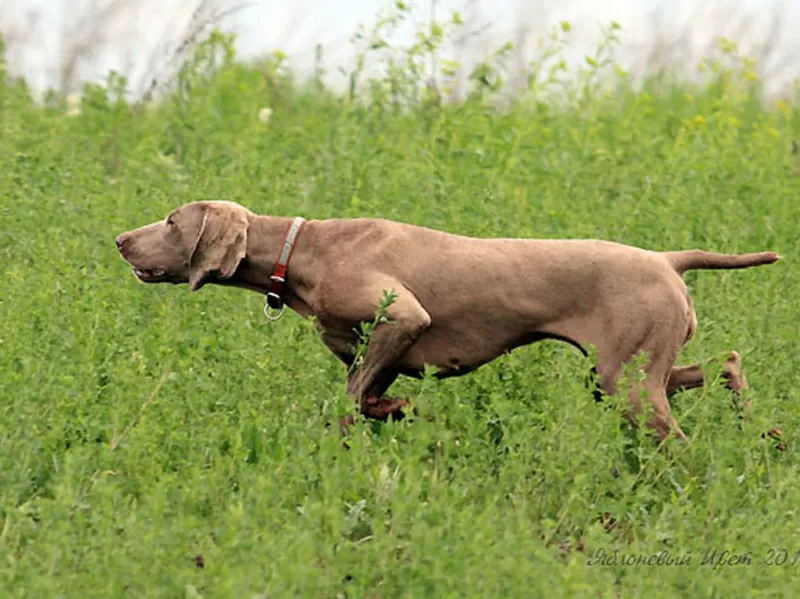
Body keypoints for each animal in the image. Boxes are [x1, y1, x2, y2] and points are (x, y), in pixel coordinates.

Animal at [115, 202, 780, 440]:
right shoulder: (371, 345)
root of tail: (666, 259)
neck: (303, 251)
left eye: (172, 222)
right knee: (726, 363)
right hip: (634, 369)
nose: (120, 239)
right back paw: (762, 429)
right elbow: (367, 393)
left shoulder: (402, 316)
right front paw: (395, 409)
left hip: (628, 383)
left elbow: (351, 400)